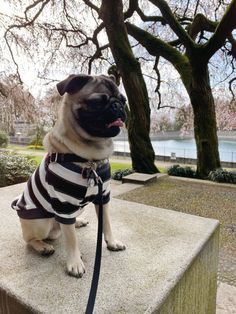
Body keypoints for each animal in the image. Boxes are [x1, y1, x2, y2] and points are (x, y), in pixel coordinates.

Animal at [12, 75, 127, 278]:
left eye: (123, 100)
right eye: (97, 102)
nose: (118, 105)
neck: (90, 159)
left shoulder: (102, 197)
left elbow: (106, 223)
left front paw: (111, 242)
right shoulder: (64, 204)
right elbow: (72, 240)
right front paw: (74, 262)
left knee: (65, 226)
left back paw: (78, 222)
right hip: (42, 223)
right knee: (31, 238)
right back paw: (43, 247)